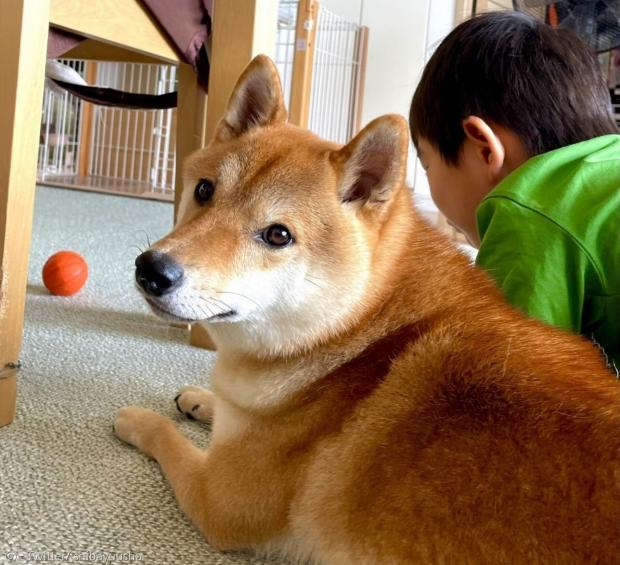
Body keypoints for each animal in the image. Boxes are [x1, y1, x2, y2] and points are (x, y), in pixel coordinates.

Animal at [114, 54, 620, 564]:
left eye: (278, 235)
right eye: (204, 190)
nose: (152, 269)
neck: (361, 338)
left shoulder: (219, 498)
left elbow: (166, 437)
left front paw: (138, 420)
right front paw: (204, 399)